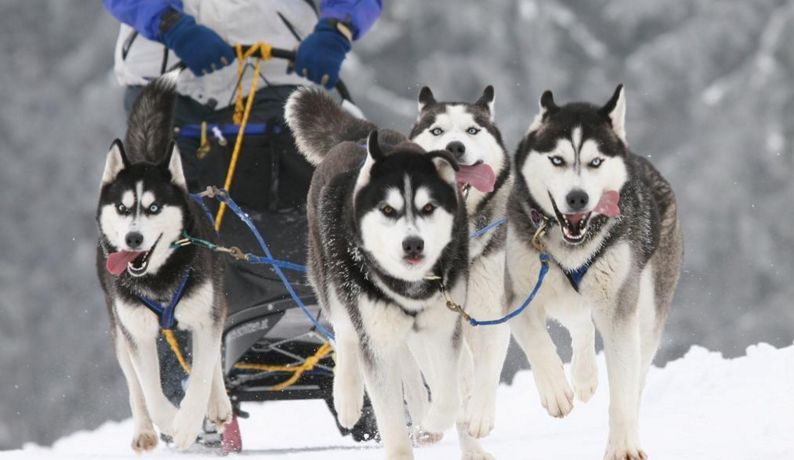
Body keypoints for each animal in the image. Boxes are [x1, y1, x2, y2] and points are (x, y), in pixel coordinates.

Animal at [96, 76, 232, 452]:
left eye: (154, 207)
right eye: (123, 207)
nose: (133, 239)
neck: (159, 280)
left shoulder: (206, 318)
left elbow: (201, 375)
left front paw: (187, 422)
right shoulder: (137, 333)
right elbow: (151, 390)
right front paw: (172, 421)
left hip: (215, 304)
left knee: (212, 363)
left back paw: (218, 405)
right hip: (118, 329)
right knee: (135, 385)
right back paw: (144, 430)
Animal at [288, 88, 468, 458]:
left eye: (429, 207)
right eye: (387, 209)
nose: (412, 245)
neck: (409, 287)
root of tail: (359, 138)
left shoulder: (445, 325)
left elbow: (447, 394)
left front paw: (433, 420)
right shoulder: (375, 336)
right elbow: (390, 419)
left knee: (411, 368)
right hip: (333, 285)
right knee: (345, 333)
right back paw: (347, 399)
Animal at [408, 87, 512, 456]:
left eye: (472, 130)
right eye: (437, 130)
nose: (454, 147)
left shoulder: (492, 310)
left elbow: (486, 366)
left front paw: (479, 415)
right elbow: (453, 367)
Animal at [508, 84, 680, 458]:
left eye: (595, 161)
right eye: (557, 160)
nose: (577, 198)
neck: (573, 244)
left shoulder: (619, 310)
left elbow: (623, 389)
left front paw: (624, 445)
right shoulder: (517, 294)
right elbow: (537, 341)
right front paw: (556, 390)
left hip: (647, 309)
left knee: (636, 367)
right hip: (561, 295)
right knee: (580, 323)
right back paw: (583, 377)